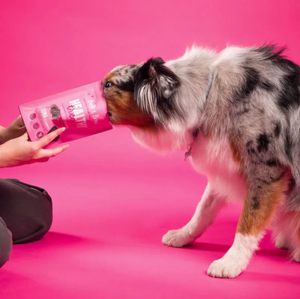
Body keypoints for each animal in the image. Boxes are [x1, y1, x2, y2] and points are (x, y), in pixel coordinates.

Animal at [102, 45, 300, 280]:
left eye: (108, 85)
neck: (207, 96)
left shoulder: (266, 171)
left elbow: (248, 222)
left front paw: (231, 262)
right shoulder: (223, 166)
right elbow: (203, 209)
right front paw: (182, 235)